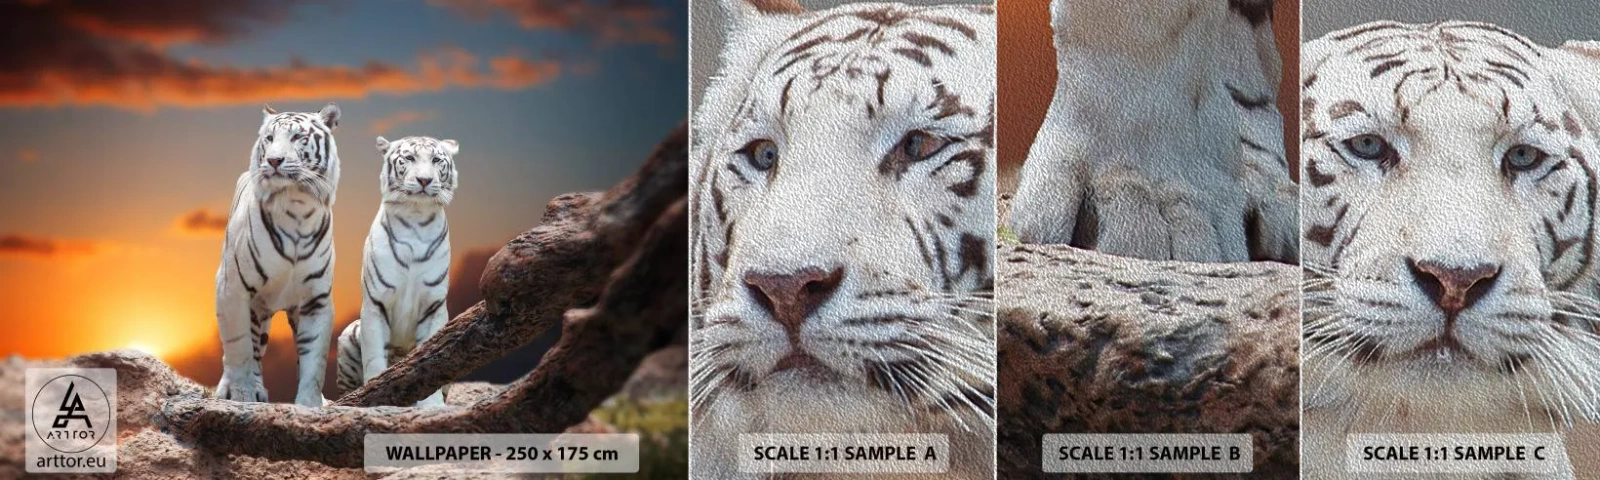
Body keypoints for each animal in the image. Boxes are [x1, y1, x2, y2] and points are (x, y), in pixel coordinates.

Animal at [214, 103, 342, 407]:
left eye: (298, 137)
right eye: (269, 139)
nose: (273, 160)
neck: (297, 205)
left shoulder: (316, 299)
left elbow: (314, 360)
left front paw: (310, 405)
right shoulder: (232, 288)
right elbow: (238, 350)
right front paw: (242, 396)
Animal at [334, 135, 459, 407]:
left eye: (436, 160)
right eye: (409, 158)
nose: (424, 180)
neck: (416, 217)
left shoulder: (434, 306)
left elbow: (432, 359)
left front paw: (432, 406)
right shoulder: (375, 303)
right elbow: (374, 359)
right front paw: (375, 397)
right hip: (348, 335)